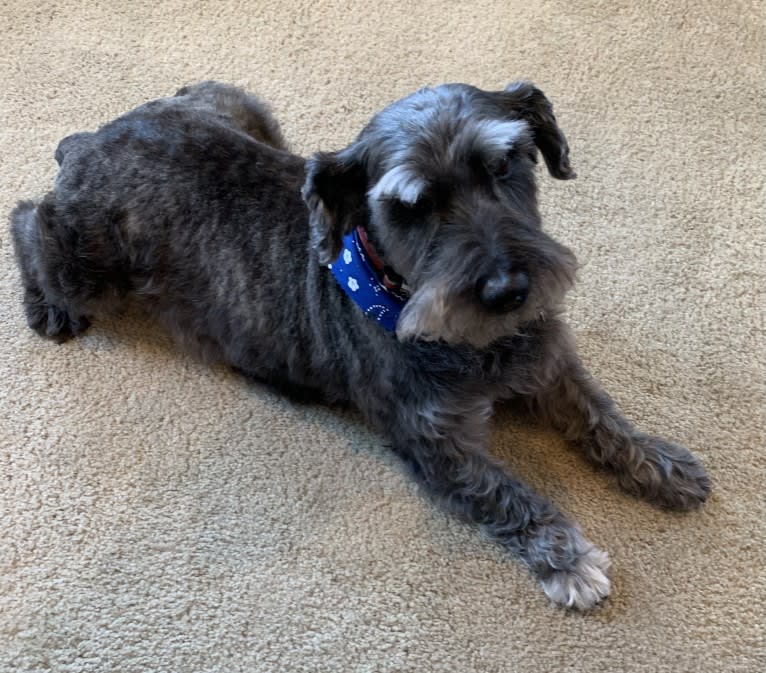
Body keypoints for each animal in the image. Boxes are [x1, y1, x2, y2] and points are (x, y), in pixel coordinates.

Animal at [7, 80, 712, 608]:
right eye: (411, 206)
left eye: (504, 164)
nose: (511, 290)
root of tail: (88, 141)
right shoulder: (435, 442)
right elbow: (506, 494)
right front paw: (566, 560)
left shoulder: (547, 363)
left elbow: (602, 416)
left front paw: (660, 464)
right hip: (85, 266)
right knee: (26, 218)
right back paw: (46, 306)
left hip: (242, 106)